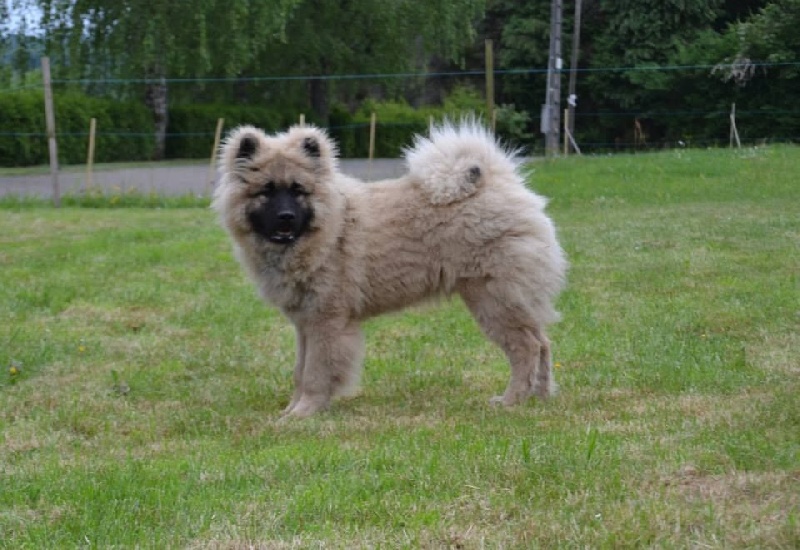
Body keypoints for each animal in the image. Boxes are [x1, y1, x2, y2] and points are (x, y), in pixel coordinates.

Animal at [209, 122, 564, 418]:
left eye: (298, 190)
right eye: (266, 191)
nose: (286, 217)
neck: (329, 230)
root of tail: (500, 182)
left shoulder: (327, 320)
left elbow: (315, 372)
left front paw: (303, 413)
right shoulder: (305, 323)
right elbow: (300, 370)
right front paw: (293, 409)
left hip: (492, 298)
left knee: (526, 347)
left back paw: (512, 400)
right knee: (543, 343)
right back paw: (540, 397)